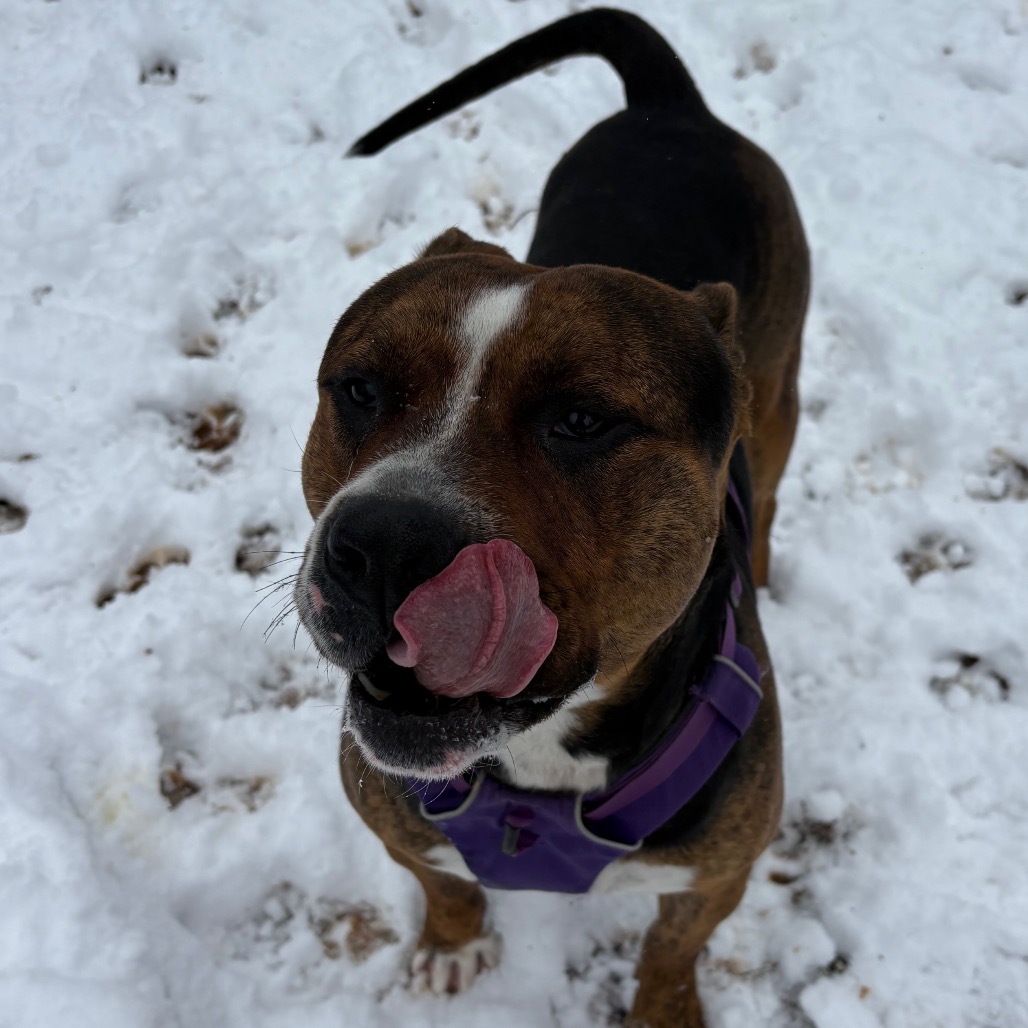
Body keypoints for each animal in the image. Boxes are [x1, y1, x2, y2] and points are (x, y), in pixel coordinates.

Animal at [294, 9, 808, 1026]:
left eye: (581, 419)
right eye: (360, 388)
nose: (382, 545)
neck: (539, 768)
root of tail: (669, 106)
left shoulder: (715, 877)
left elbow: (669, 951)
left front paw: (664, 1011)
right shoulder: (395, 820)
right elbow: (445, 883)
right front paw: (452, 945)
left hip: (779, 391)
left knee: (768, 482)